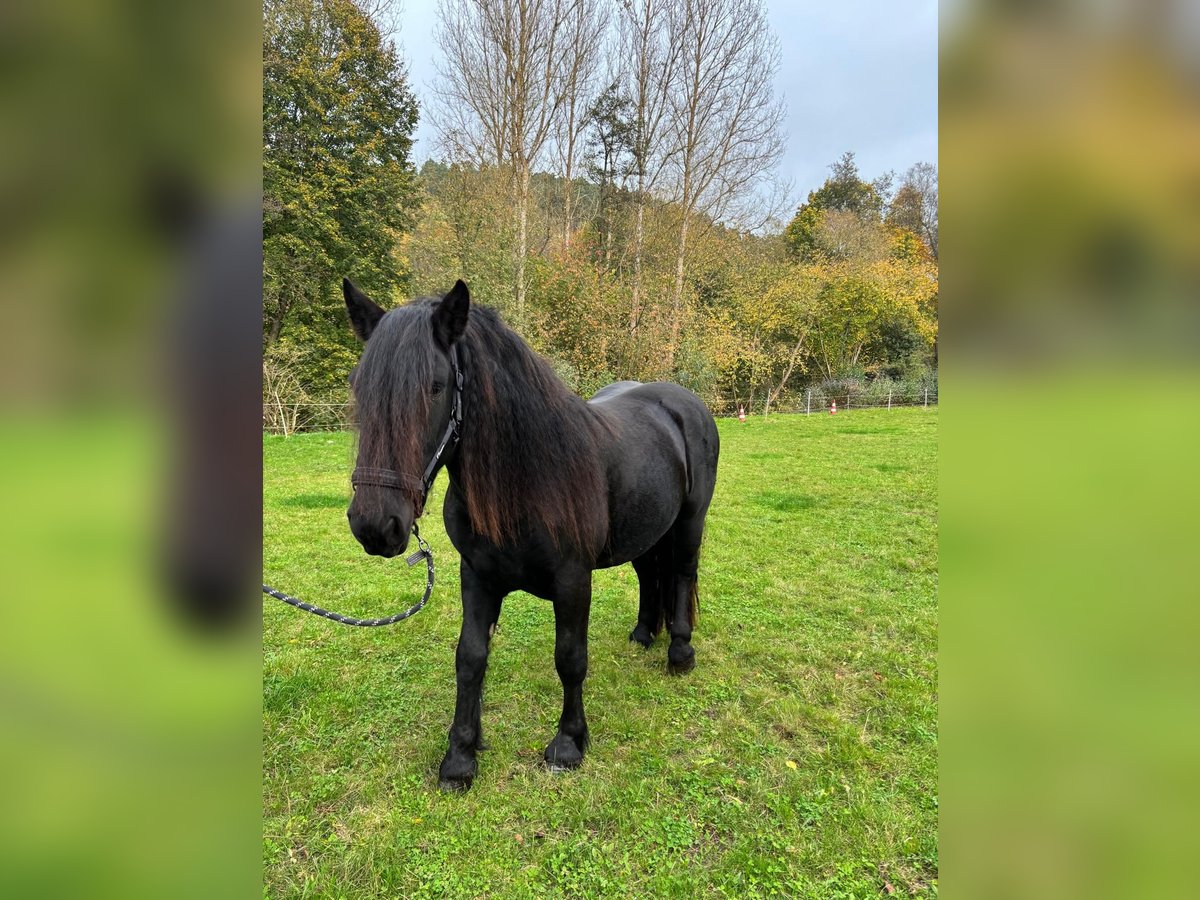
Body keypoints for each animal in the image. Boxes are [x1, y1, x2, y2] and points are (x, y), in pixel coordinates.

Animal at [345, 278, 720, 792]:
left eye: (435, 387)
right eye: (358, 387)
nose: (375, 525)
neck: (527, 478)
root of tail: (684, 401)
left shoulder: (573, 580)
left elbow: (570, 657)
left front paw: (568, 744)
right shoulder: (477, 577)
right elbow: (471, 658)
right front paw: (460, 757)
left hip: (688, 522)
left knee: (682, 573)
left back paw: (680, 653)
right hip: (646, 527)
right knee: (649, 574)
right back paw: (643, 634)